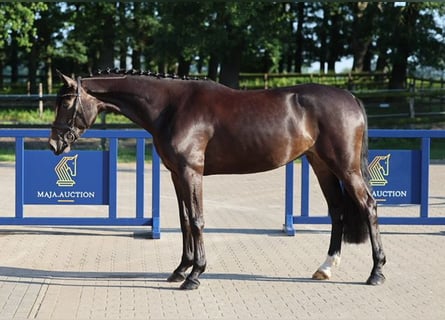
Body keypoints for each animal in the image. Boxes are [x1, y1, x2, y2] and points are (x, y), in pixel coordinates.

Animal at [46, 70, 384, 290]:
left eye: (66, 103)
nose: (53, 144)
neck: (170, 107)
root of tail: (351, 97)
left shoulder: (190, 172)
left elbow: (197, 221)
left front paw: (195, 275)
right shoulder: (176, 174)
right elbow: (184, 220)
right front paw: (180, 270)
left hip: (345, 168)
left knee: (368, 206)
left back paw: (376, 272)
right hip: (321, 164)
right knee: (338, 211)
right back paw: (325, 268)